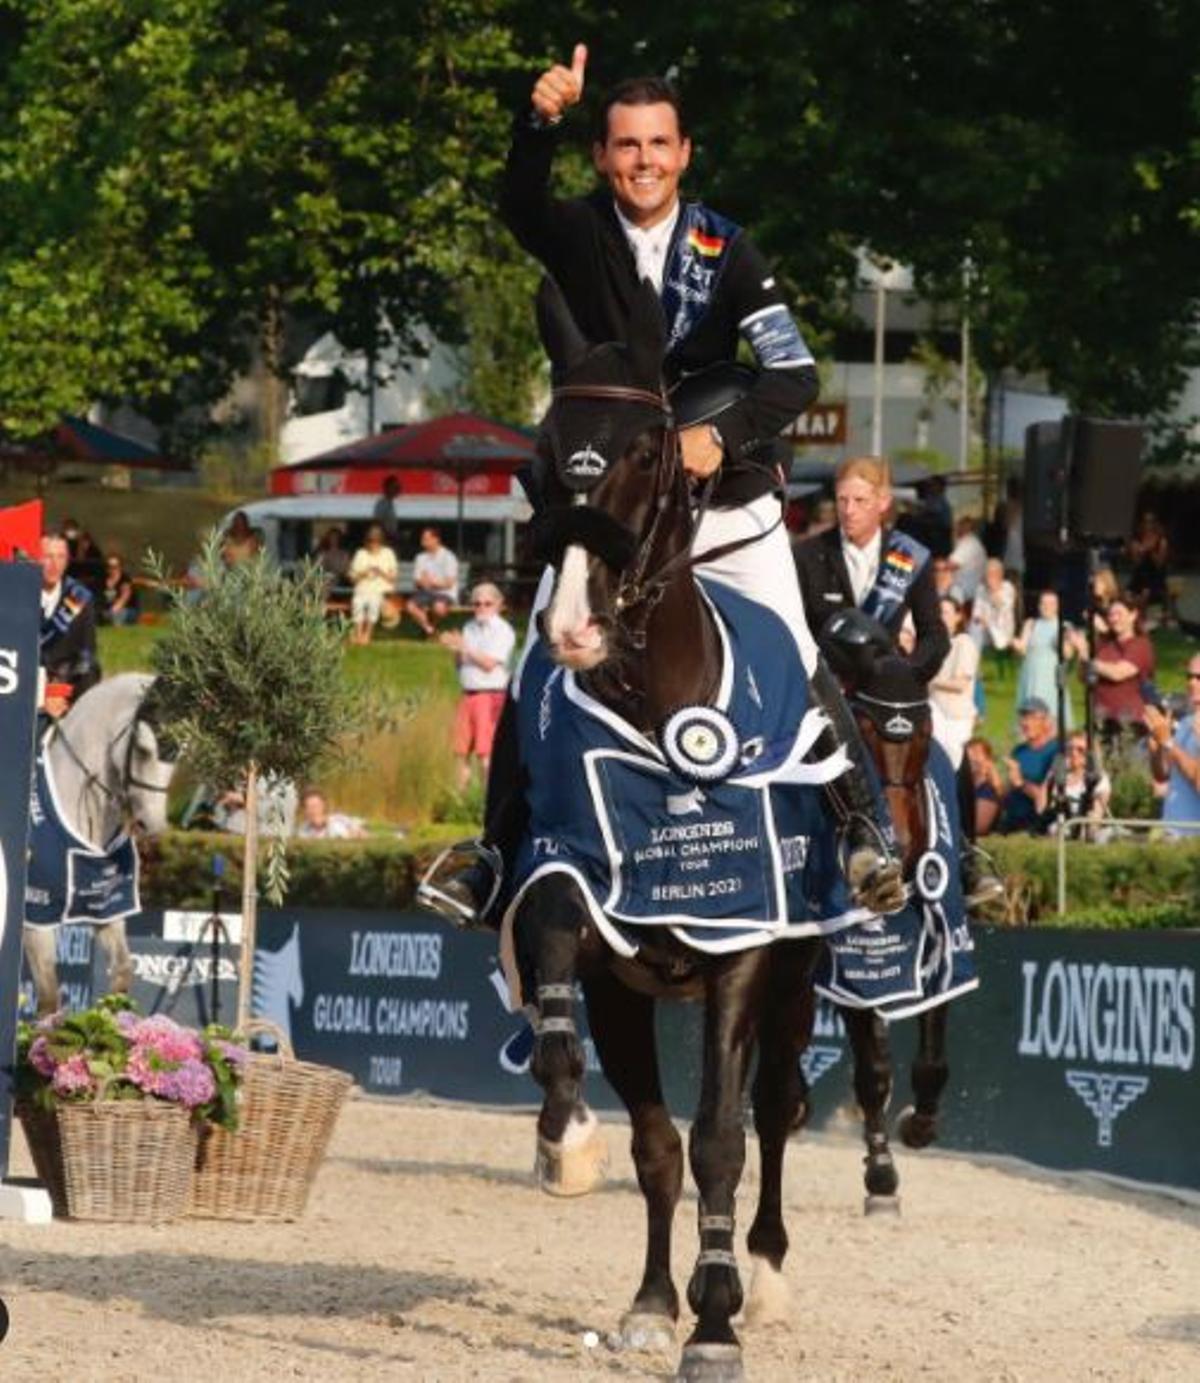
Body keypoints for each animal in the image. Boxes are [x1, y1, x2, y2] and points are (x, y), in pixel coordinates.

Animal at [22, 677, 178, 1017]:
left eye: (178, 754)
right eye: (143, 750)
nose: (154, 827)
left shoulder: (108, 910)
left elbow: (122, 972)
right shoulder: (36, 917)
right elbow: (49, 1000)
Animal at [511, 283, 857, 1383]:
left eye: (645, 451)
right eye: (543, 453)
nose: (572, 627)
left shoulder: (745, 954)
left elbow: (718, 1140)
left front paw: (715, 1324)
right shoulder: (586, 921)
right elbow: (643, 1130)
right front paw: (567, 1144)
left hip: (795, 983)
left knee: (775, 1114)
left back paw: (767, 1276)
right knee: (670, 1144)